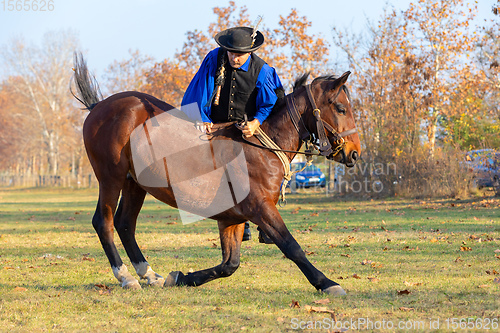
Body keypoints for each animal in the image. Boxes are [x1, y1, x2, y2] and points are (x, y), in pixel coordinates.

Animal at [73, 53, 360, 294]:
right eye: (341, 108)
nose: (354, 152)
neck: (260, 147)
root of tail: (100, 106)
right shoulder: (261, 208)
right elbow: (292, 247)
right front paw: (326, 282)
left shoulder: (233, 218)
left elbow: (229, 264)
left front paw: (181, 277)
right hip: (111, 179)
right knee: (104, 223)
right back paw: (125, 277)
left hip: (134, 184)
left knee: (125, 224)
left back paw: (149, 274)